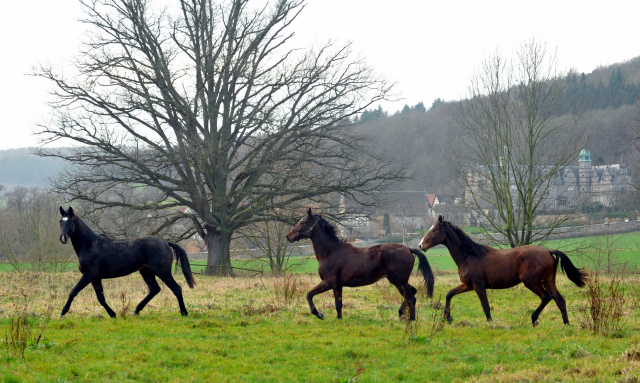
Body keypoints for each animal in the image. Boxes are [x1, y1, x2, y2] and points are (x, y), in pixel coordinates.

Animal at [58, 208, 194, 320]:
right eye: (61, 221)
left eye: (71, 221)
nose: (63, 238)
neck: (90, 245)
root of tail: (165, 242)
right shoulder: (95, 278)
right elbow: (101, 298)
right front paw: (112, 314)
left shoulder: (89, 275)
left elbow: (73, 292)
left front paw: (62, 313)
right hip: (146, 271)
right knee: (154, 289)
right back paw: (137, 310)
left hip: (163, 272)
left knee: (176, 288)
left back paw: (184, 313)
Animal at [286, 210, 432, 320]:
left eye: (302, 222)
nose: (289, 236)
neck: (330, 252)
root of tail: (408, 249)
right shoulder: (337, 285)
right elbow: (338, 304)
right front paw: (339, 320)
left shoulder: (328, 282)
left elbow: (309, 294)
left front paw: (319, 314)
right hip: (396, 280)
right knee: (412, 294)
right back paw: (405, 315)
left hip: (399, 281)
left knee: (410, 298)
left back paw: (409, 319)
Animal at [418, 216, 588, 328]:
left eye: (434, 229)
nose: (420, 245)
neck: (470, 255)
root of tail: (548, 251)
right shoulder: (468, 285)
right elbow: (449, 294)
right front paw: (448, 317)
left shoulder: (478, 285)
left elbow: (485, 306)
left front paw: (491, 324)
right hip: (548, 280)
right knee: (560, 300)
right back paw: (566, 324)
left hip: (531, 282)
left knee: (546, 297)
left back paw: (534, 319)